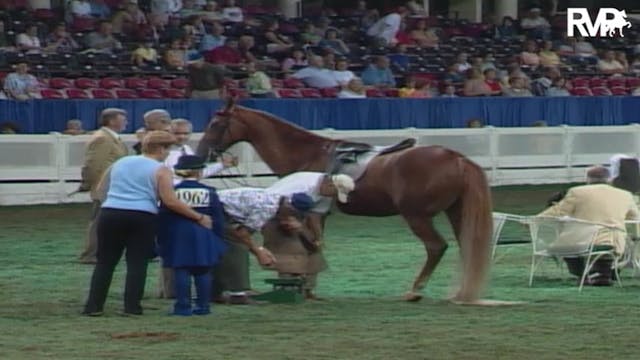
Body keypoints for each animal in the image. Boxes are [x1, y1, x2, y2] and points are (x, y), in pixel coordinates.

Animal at [200, 100, 496, 302]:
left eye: (216, 124)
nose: (202, 152)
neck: (307, 154)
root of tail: (457, 158)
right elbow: (313, 245)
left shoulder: (313, 214)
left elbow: (314, 245)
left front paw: (307, 287)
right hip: (455, 212)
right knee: (466, 246)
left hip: (417, 217)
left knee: (436, 247)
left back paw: (415, 291)